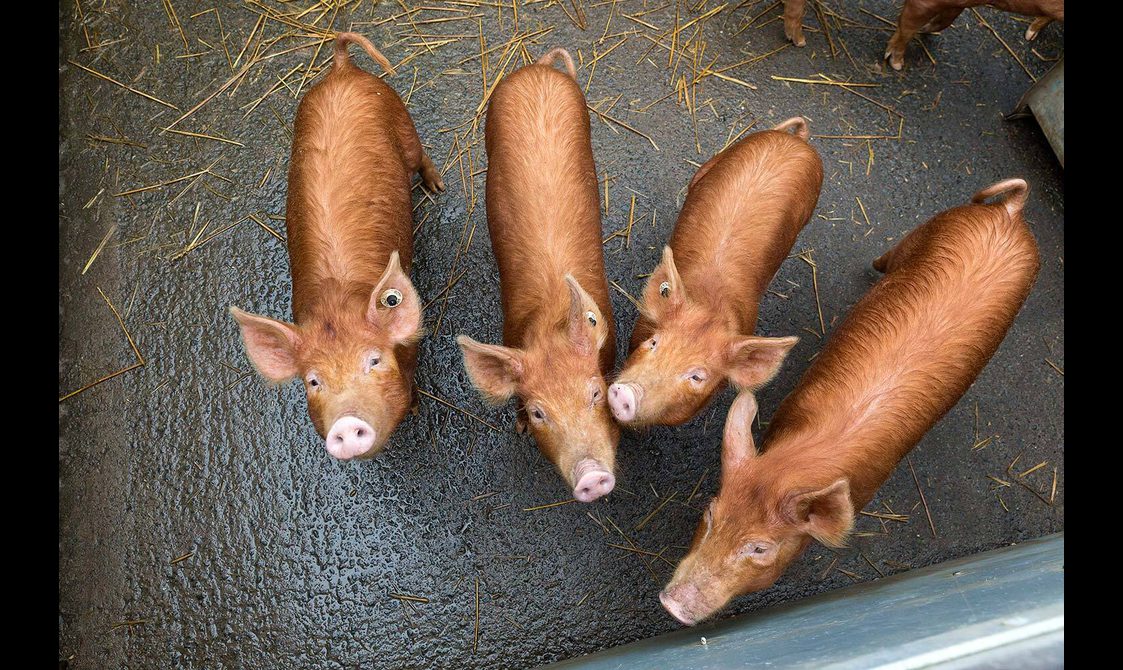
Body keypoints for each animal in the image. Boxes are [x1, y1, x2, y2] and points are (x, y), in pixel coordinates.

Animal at [229, 32, 444, 461]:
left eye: (374, 360)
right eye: (314, 381)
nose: (346, 423)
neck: (335, 302)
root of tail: (342, 68)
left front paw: (414, 408)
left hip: (401, 117)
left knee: (420, 155)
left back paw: (436, 186)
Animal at [456, 48, 620, 503]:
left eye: (595, 393)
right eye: (538, 412)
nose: (591, 475)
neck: (550, 321)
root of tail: (538, 68)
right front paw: (518, 429)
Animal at [607, 118, 822, 428]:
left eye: (697, 376)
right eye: (654, 342)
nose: (626, 393)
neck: (710, 304)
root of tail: (798, 141)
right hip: (718, 160)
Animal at [660, 179, 1041, 625]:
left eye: (759, 547)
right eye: (710, 513)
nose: (671, 602)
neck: (796, 465)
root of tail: (1010, 213)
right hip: (937, 225)